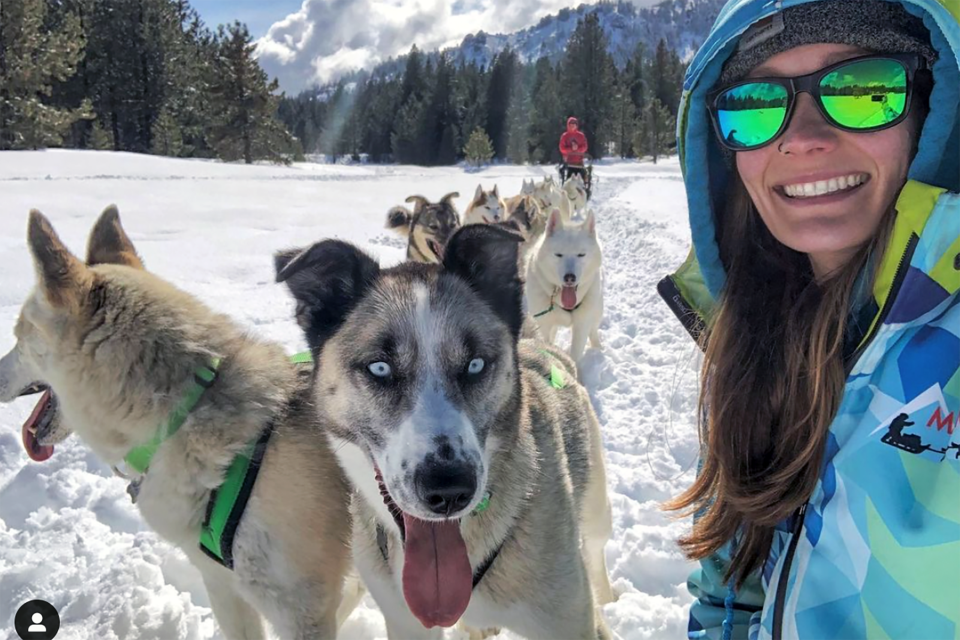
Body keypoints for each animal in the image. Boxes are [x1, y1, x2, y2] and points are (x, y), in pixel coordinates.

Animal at [524, 210, 600, 370]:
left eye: (581, 254)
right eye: (558, 254)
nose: (569, 277)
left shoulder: (582, 324)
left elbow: (576, 353)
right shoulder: (544, 324)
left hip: (597, 309)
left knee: (594, 329)